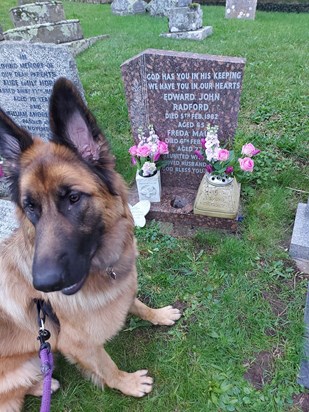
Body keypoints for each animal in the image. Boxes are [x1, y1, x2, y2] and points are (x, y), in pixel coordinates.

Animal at [0, 78, 180, 412]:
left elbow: (136, 302)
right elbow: (106, 367)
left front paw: (158, 314)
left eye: (73, 198)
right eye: (30, 207)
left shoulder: (123, 290)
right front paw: (128, 383)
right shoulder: (78, 344)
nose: (43, 283)